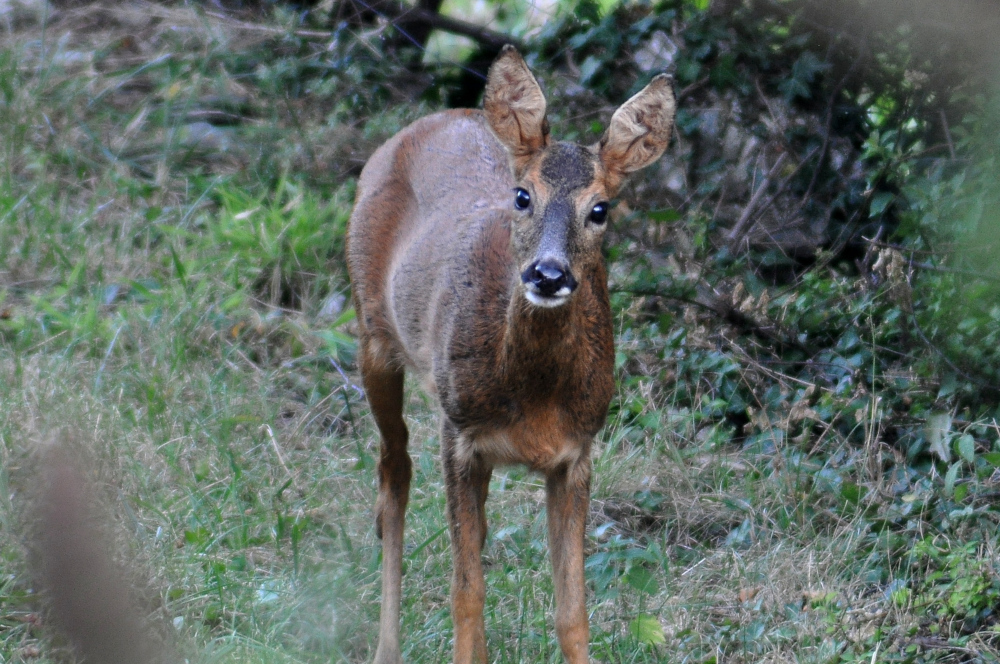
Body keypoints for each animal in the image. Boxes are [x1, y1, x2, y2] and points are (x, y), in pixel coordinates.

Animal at [348, 46, 676, 664]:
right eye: (523, 196)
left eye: (601, 209)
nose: (548, 274)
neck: (536, 397)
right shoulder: (459, 433)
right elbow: (466, 595)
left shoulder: (578, 452)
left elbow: (573, 612)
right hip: (372, 334)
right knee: (393, 472)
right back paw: (385, 647)